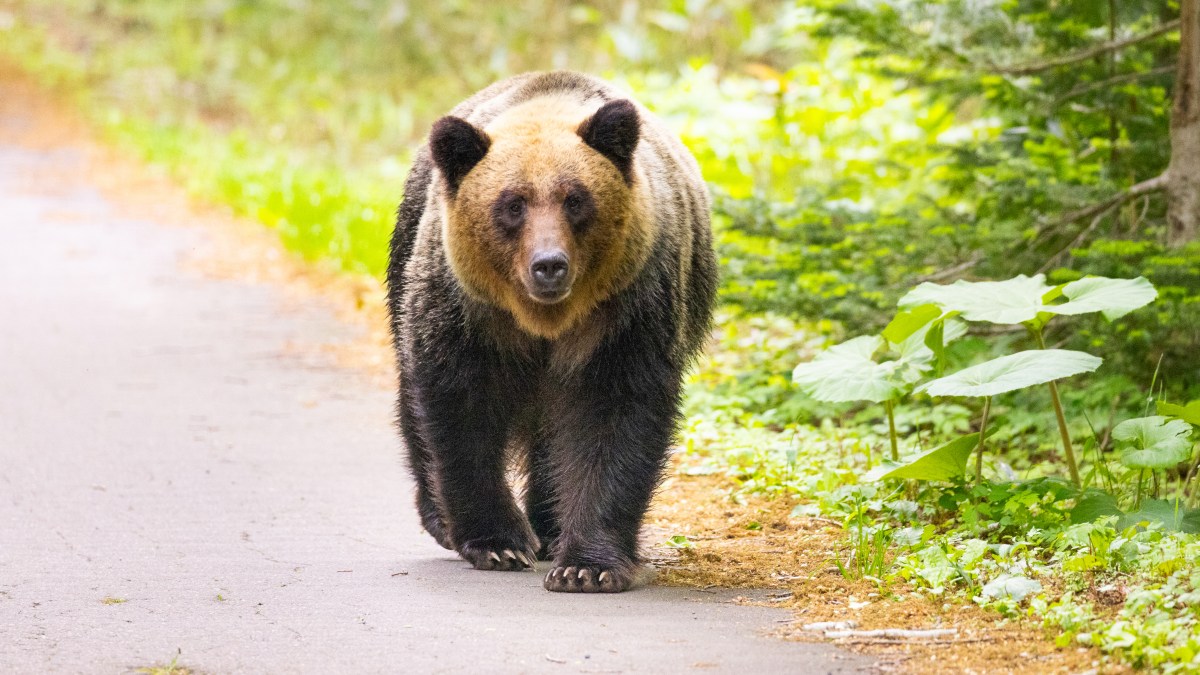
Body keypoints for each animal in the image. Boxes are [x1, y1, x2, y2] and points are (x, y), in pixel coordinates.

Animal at [385, 71, 717, 593]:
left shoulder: (626, 313)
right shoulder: (466, 312)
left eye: (575, 199)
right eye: (512, 204)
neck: (543, 319)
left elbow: (614, 416)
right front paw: (498, 543)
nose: (549, 265)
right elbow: (461, 407)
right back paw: (442, 517)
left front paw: (587, 565)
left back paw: (549, 523)